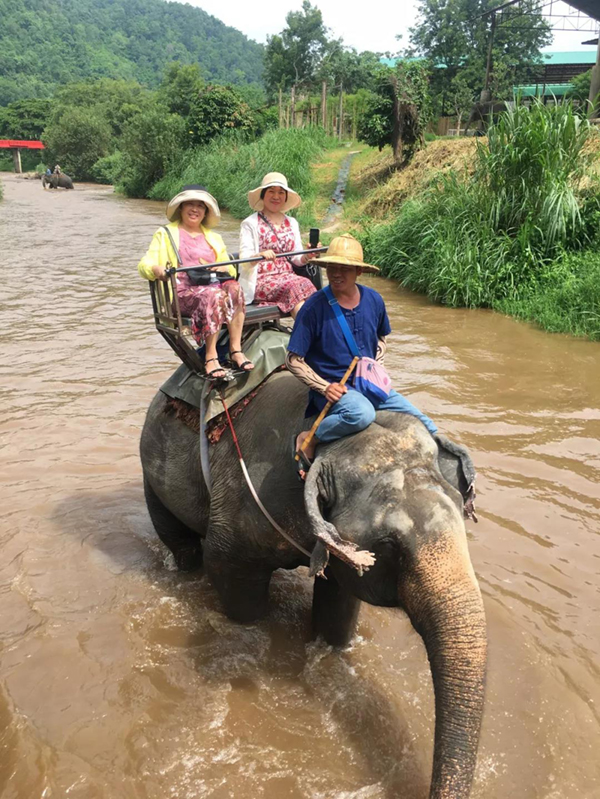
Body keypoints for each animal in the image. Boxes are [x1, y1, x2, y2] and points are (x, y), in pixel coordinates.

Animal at [139, 376, 488, 799]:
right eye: (390, 544)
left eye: (461, 511)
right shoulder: (239, 512)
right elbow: (231, 579)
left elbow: (338, 602)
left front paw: (330, 648)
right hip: (153, 475)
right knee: (184, 546)